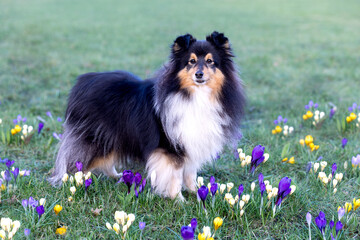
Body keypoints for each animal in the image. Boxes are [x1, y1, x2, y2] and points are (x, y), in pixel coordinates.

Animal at [50, 31, 245, 201]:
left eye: (211, 61)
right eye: (191, 61)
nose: (199, 74)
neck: (196, 95)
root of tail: (82, 81)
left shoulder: (190, 142)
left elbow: (190, 173)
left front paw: (197, 193)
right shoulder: (169, 147)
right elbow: (175, 176)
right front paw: (179, 200)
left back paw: (116, 176)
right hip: (94, 138)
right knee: (75, 162)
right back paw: (72, 182)